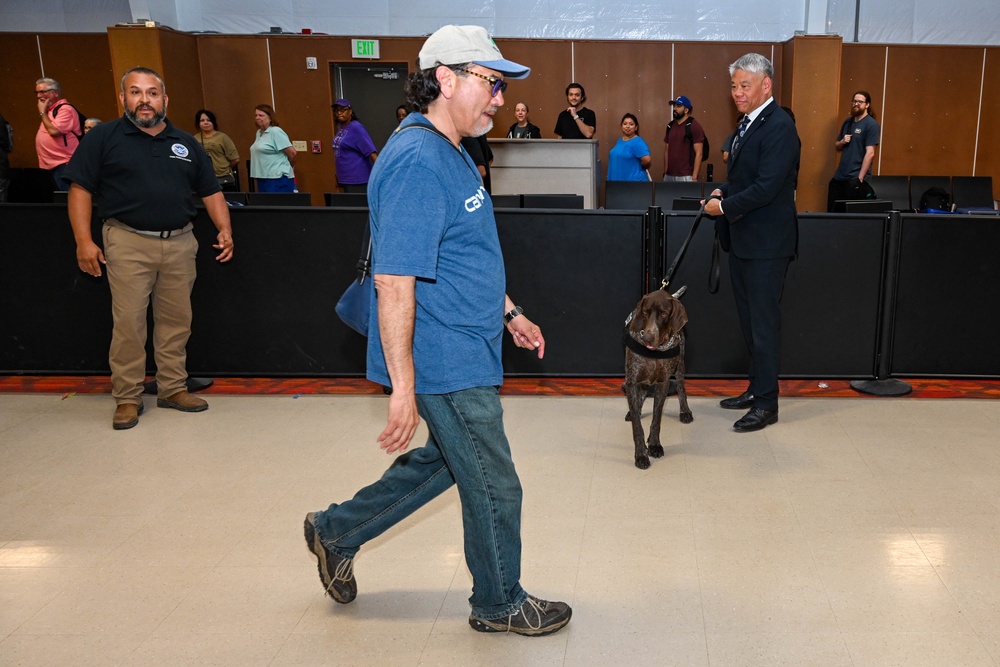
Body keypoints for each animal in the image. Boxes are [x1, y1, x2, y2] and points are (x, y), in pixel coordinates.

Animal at [620, 288, 692, 470]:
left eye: (664, 314)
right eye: (645, 312)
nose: (648, 338)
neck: (654, 352)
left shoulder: (663, 384)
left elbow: (656, 419)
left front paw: (654, 445)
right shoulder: (632, 381)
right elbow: (637, 426)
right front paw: (641, 454)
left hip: (680, 366)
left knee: (681, 387)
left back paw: (685, 411)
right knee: (640, 398)